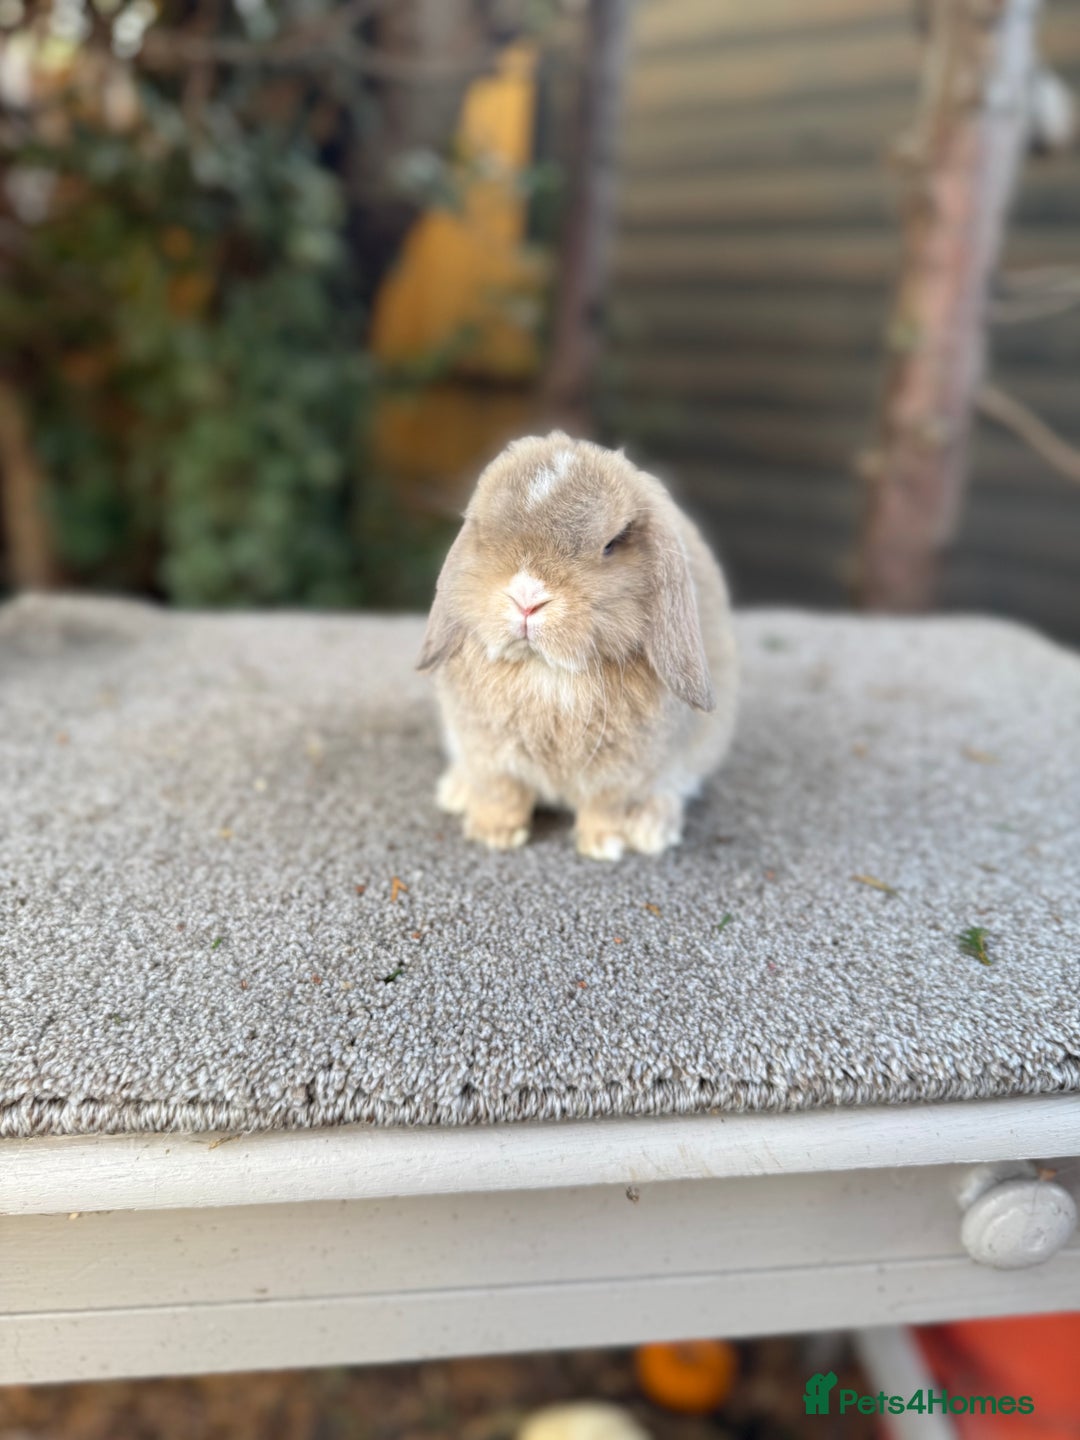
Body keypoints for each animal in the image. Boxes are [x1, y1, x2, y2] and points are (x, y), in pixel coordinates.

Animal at [418, 432, 738, 860]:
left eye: (612, 544)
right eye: (484, 537)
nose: (527, 597)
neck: (548, 673)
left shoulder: (625, 770)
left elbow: (606, 805)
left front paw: (604, 845)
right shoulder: (490, 755)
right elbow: (504, 794)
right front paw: (493, 835)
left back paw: (651, 828)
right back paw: (457, 791)